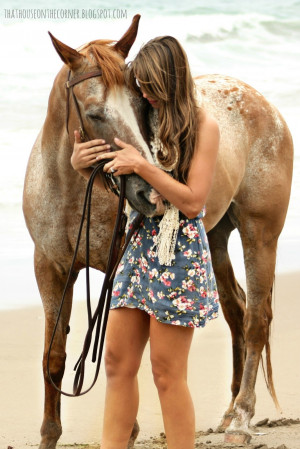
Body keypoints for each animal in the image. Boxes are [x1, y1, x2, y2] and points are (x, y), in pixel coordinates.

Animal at [22, 14, 292, 448]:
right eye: (94, 113)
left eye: (139, 105)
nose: (146, 193)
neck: (70, 192)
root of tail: (261, 102)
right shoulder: (49, 269)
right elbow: (55, 356)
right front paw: (49, 436)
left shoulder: (115, 270)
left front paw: (128, 429)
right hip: (218, 237)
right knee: (236, 309)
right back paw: (228, 411)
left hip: (261, 234)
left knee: (256, 320)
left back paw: (242, 419)